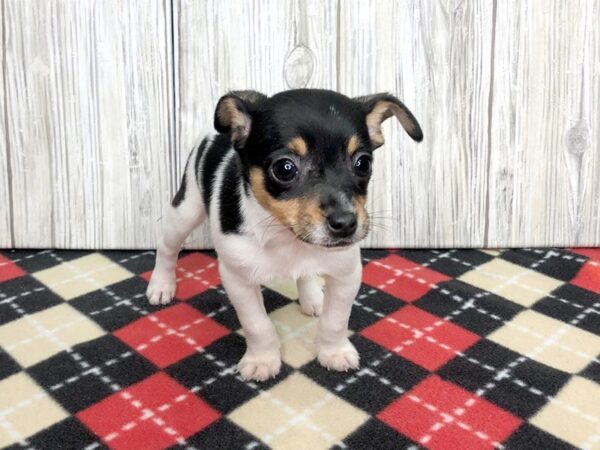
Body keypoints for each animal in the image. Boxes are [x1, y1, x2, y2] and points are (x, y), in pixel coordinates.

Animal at [145, 89, 422, 382]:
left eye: (363, 164)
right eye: (285, 168)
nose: (346, 223)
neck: (286, 237)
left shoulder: (346, 274)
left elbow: (335, 321)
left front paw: (333, 352)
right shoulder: (238, 280)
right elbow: (257, 324)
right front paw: (262, 360)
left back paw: (312, 296)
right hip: (186, 210)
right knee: (167, 248)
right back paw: (161, 285)